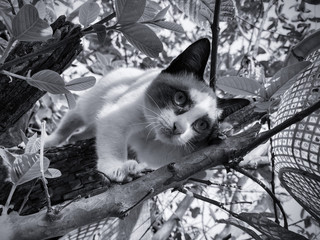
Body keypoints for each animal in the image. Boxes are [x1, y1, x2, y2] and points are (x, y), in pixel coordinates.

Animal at [45, 39, 224, 182]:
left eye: (201, 125)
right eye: (180, 98)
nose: (178, 128)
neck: (149, 130)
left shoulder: (153, 149)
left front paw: (216, 137)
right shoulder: (117, 117)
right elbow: (115, 147)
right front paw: (116, 169)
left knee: (86, 131)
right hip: (90, 103)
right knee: (72, 121)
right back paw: (49, 142)